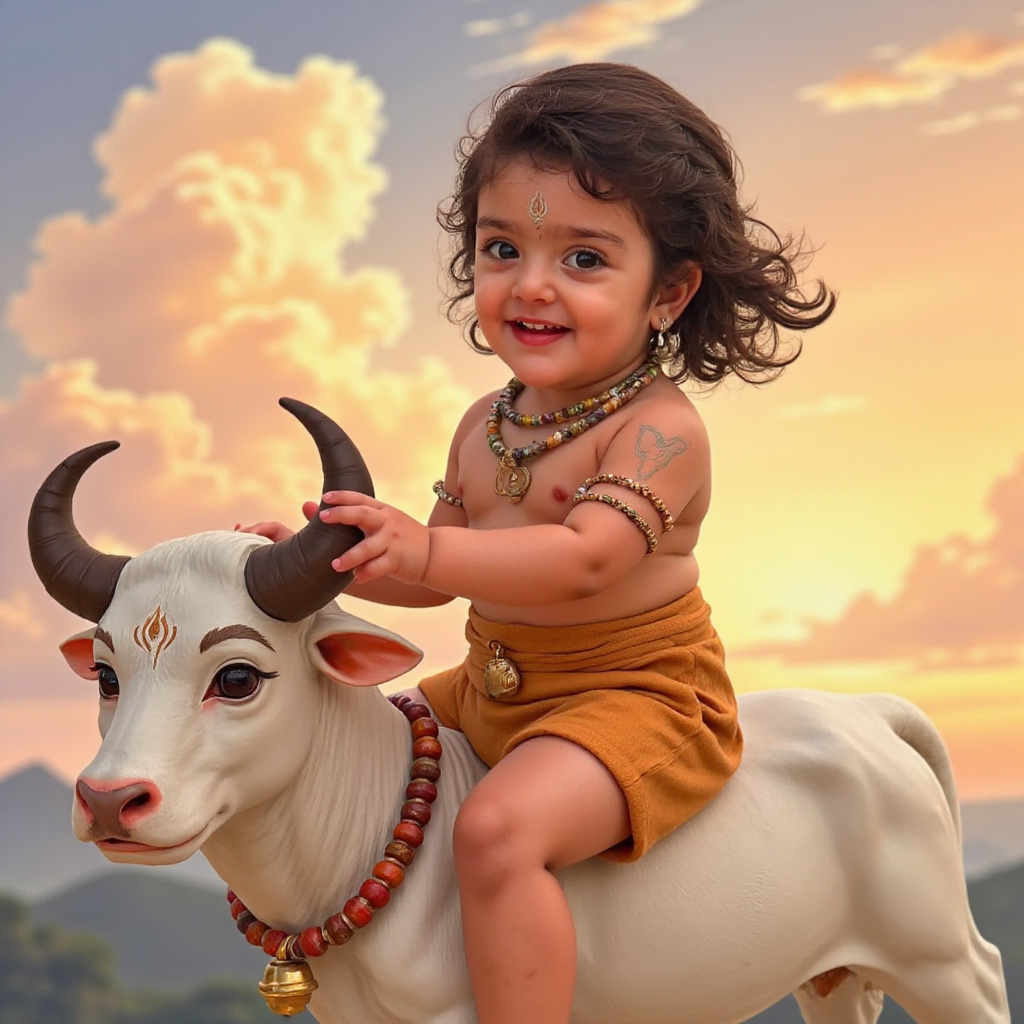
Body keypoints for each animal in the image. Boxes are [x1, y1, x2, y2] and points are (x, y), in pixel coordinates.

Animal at [29, 399, 1007, 1024]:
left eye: (237, 678)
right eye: (106, 674)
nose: (111, 800)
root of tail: (870, 715)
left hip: (936, 957)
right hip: (832, 973)